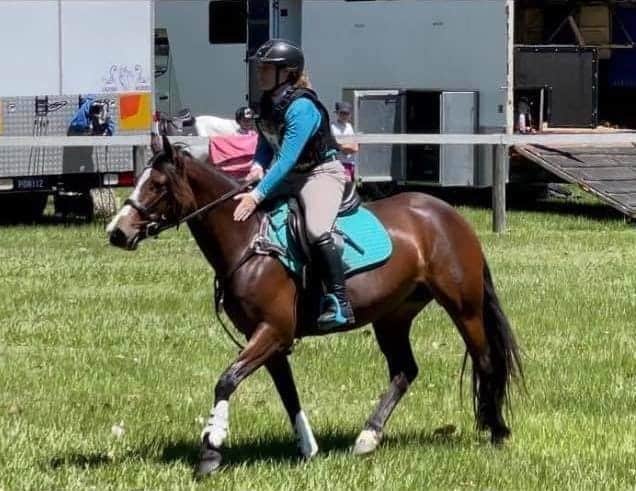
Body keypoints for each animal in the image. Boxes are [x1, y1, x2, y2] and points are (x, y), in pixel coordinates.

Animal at [106, 135, 523, 477]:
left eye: (157, 185)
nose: (116, 232)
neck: (248, 240)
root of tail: (448, 215)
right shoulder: (269, 340)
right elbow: (287, 393)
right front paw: (308, 449)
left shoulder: (271, 332)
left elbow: (226, 380)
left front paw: (211, 449)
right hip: (393, 316)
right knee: (405, 370)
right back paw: (368, 437)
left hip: (464, 307)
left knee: (486, 361)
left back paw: (497, 430)